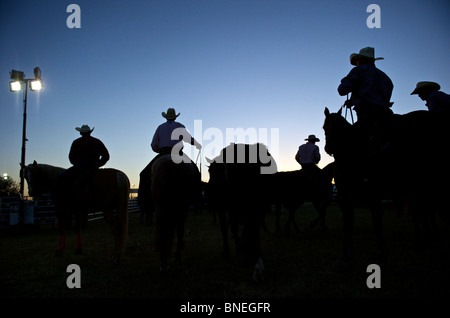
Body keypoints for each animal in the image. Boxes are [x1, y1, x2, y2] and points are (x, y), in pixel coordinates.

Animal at [206, 143, 276, 282]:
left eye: (211, 172)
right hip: (255, 205)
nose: (209, 195)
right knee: (251, 228)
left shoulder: (225, 206)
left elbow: (227, 227)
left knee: (248, 227)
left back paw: (251, 258)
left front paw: (230, 250)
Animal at [324, 106, 450, 266]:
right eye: (325, 127)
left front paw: (349, 256)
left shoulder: (354, 196)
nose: (328, 148)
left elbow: (361, 222)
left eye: (331, 127)